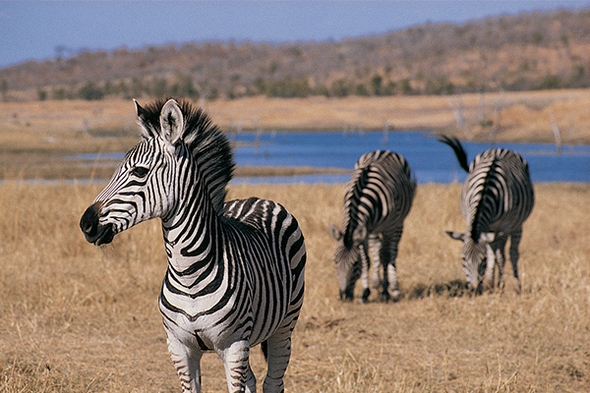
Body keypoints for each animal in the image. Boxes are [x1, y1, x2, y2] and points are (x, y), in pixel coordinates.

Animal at [80, 99, 308, 392]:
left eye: (139, 171)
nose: (86, 223)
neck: (188, 272)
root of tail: (258, 199)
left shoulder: (234, 345)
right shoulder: (180, 347)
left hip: (285, 324)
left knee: (273, 381)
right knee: (253, 380)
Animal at [330, 149, 418, 300]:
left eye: (355, 263)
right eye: (335, 261)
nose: (344, 296)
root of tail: (385, 150)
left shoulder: (388, 227)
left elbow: (385, 256)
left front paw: (385, 291)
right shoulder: (365, 230)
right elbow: (367, 260)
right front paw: (366, 292)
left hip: (398, 223)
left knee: (392, 251)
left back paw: (394, 288)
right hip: (374, 228)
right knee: (377, 248)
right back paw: (377, 282)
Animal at [440, 136, 536, 292]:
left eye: (482, 260)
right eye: (463, 259)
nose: (473, 289)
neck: (485, 193)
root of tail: (499, 148)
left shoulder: (504, 227)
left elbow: (500, 256)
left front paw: (501, 285)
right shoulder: (471, 219)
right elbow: (493, 253)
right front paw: (491, 283)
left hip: (516, 225)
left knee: (512, 253)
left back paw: (516, 286)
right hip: (491, 228)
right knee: (495, 250)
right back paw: (492, 282)